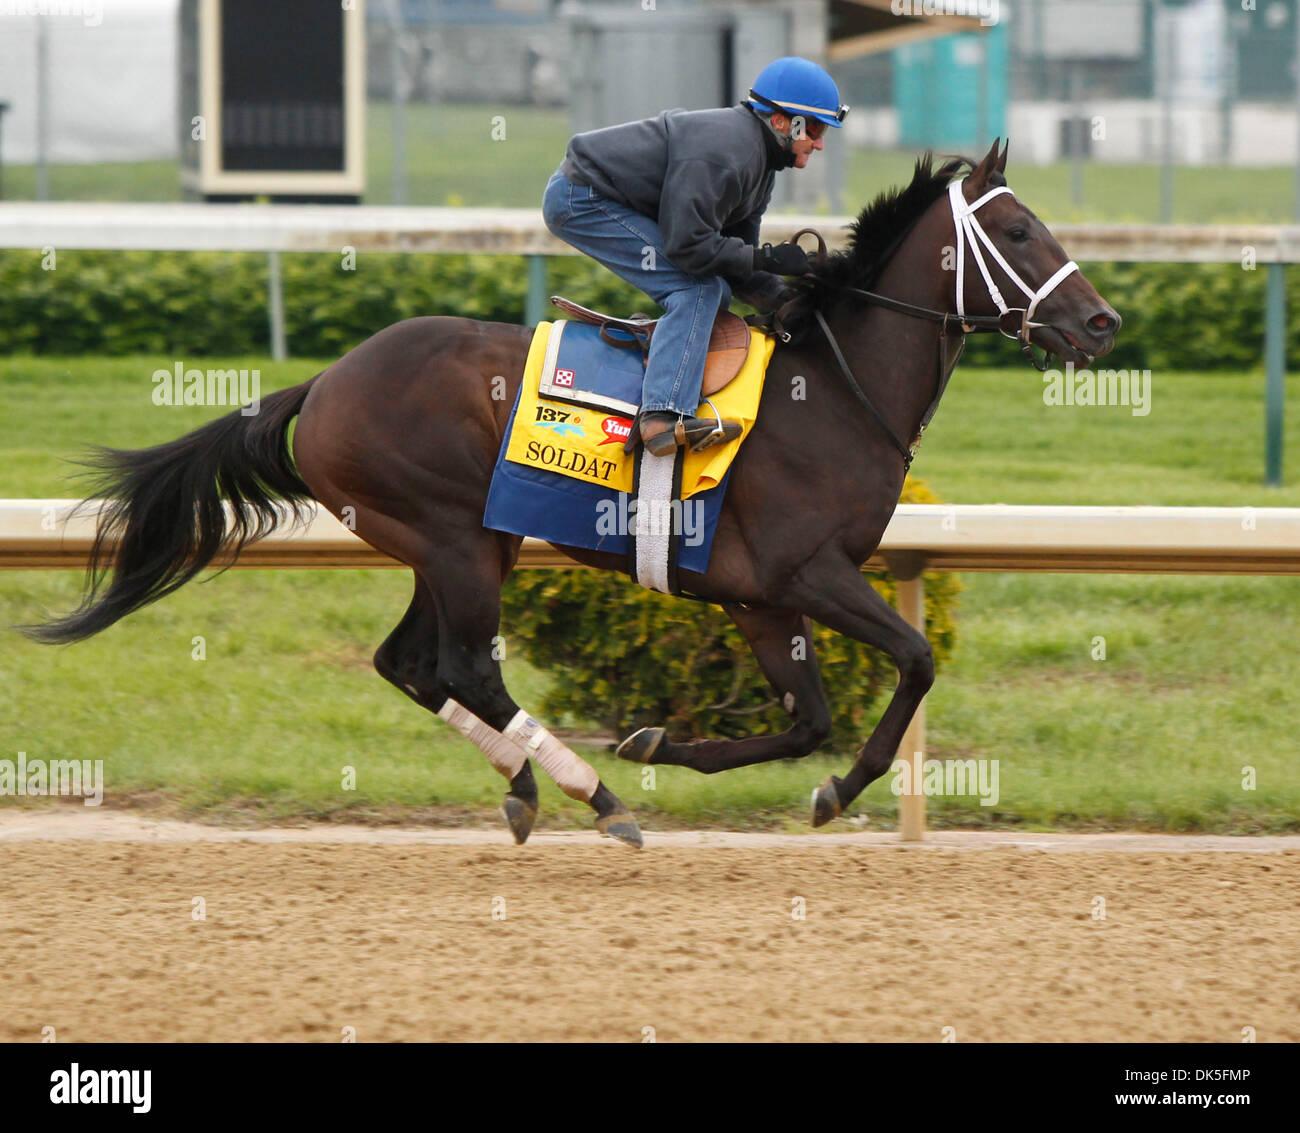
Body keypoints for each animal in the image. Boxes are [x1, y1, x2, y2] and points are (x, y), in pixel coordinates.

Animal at [22, 141, 1118, 847]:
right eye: (1018, 228)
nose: (1102, 322)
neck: (837, 389)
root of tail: (323, 383)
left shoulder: (762, 598)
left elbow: (809, 714)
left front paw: (670, 742)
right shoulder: (808, 571)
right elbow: (914, 660)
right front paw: (834, 789)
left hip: (450, 544)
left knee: (410, 664)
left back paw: (527, 784)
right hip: (456, 540)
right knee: (465, 666)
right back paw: (594, 795)